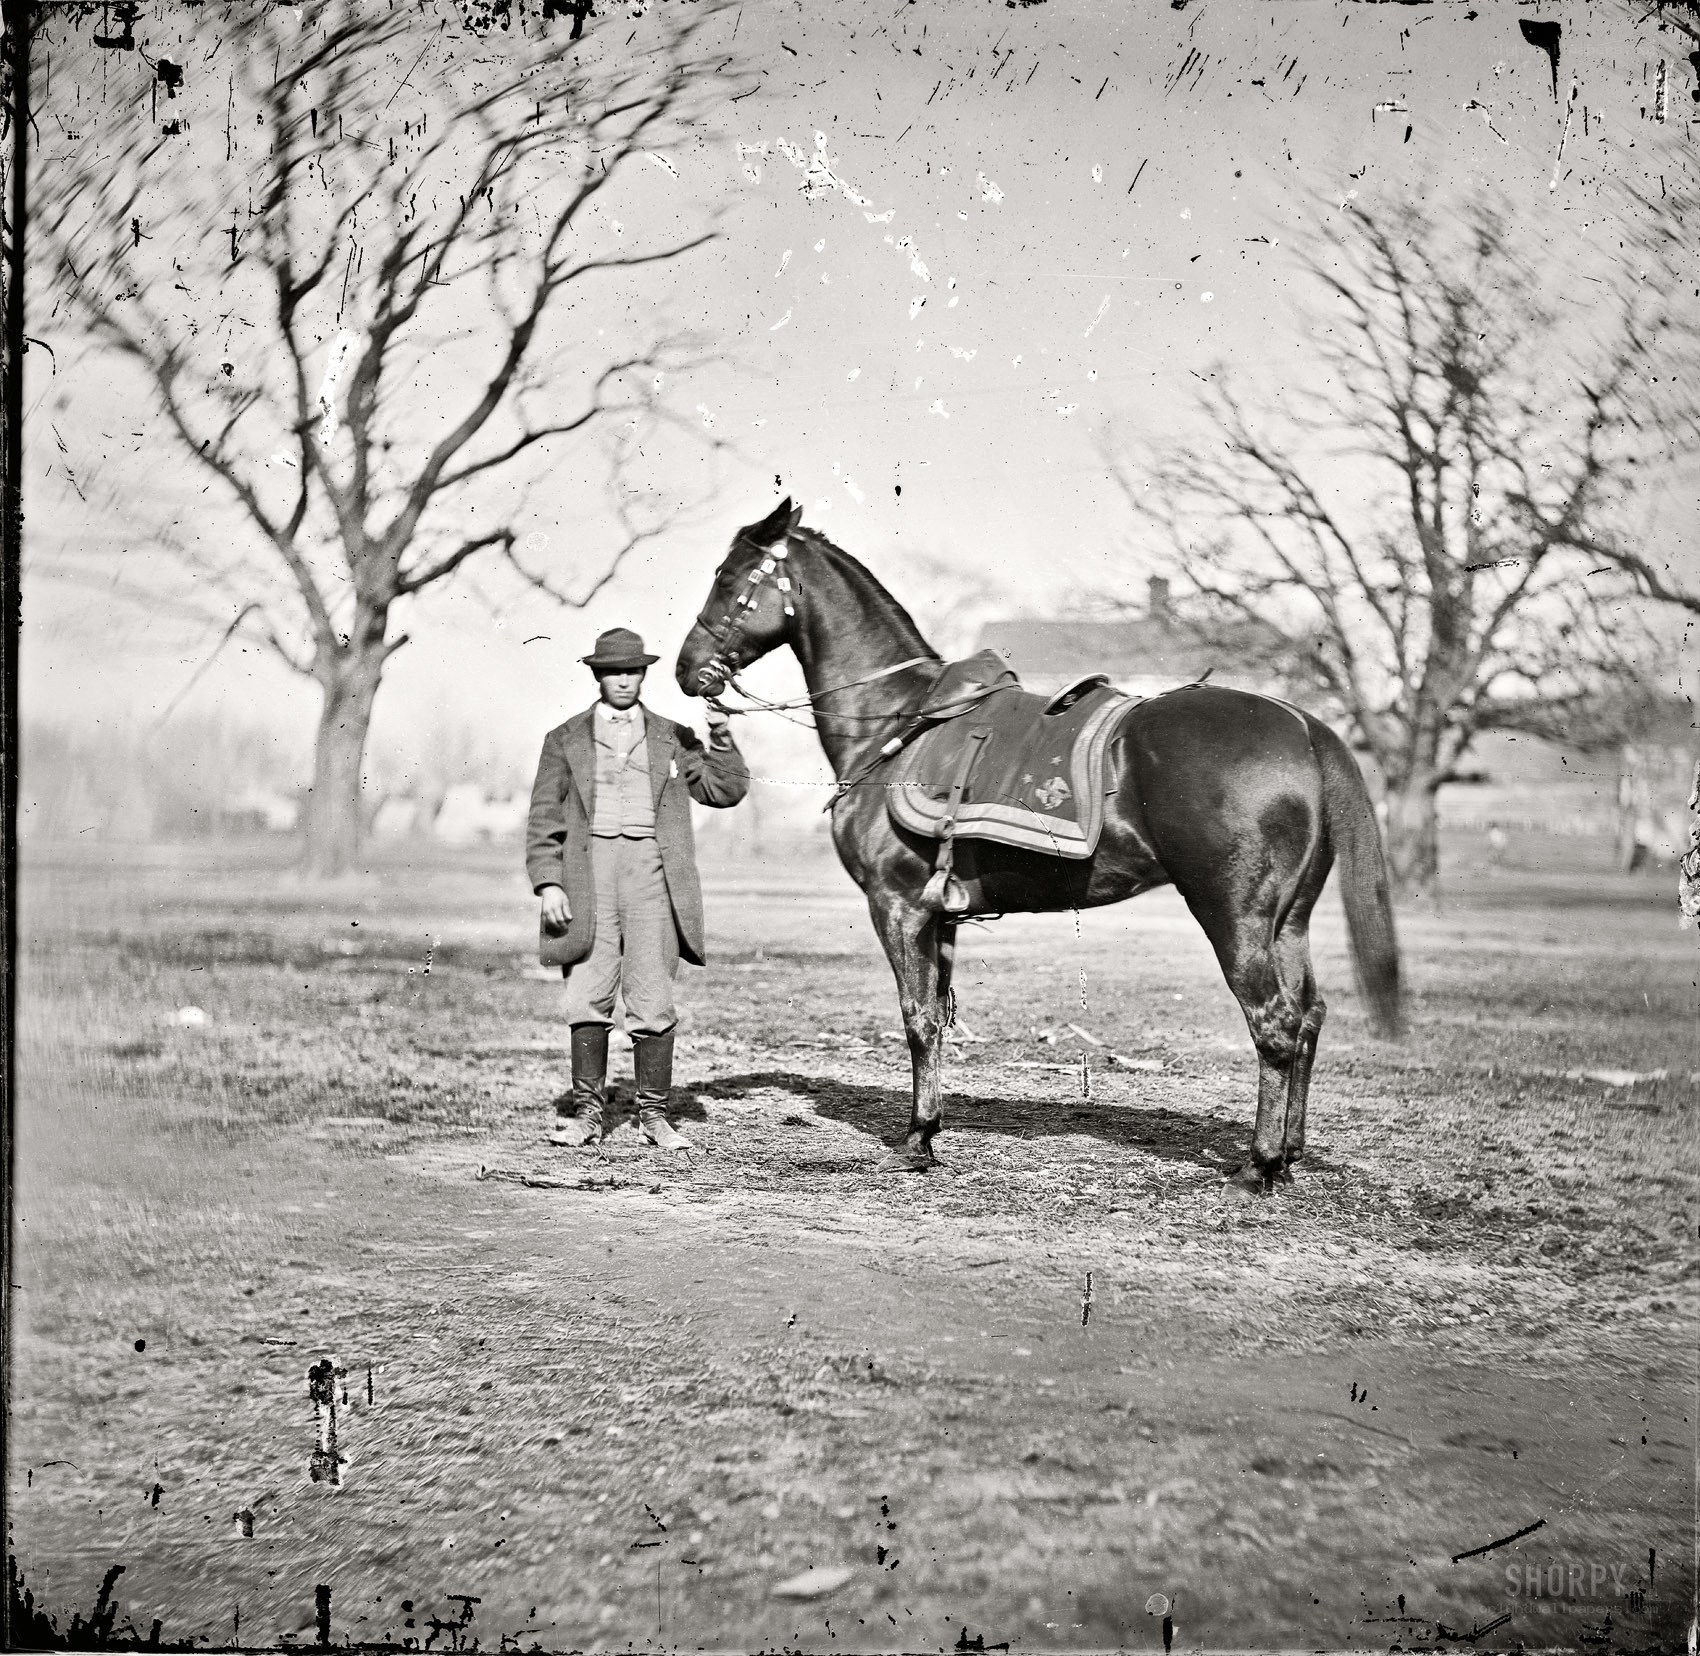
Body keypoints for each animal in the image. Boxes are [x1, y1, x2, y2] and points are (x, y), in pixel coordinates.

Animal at [675, 500, 1404, 1194]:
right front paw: (930, 1130)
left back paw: (1259, 1166)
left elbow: (915, 1017)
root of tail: (1303, 725)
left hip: (1235, 916)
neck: (901, 723)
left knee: (1274, 1022)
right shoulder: (940, 915)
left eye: (729, 577)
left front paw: (915, 1141)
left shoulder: (898, 905)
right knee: (1307, 1017)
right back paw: (1289, 1156)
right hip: (1289, 922)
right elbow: (937, 1019)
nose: (687, 671)